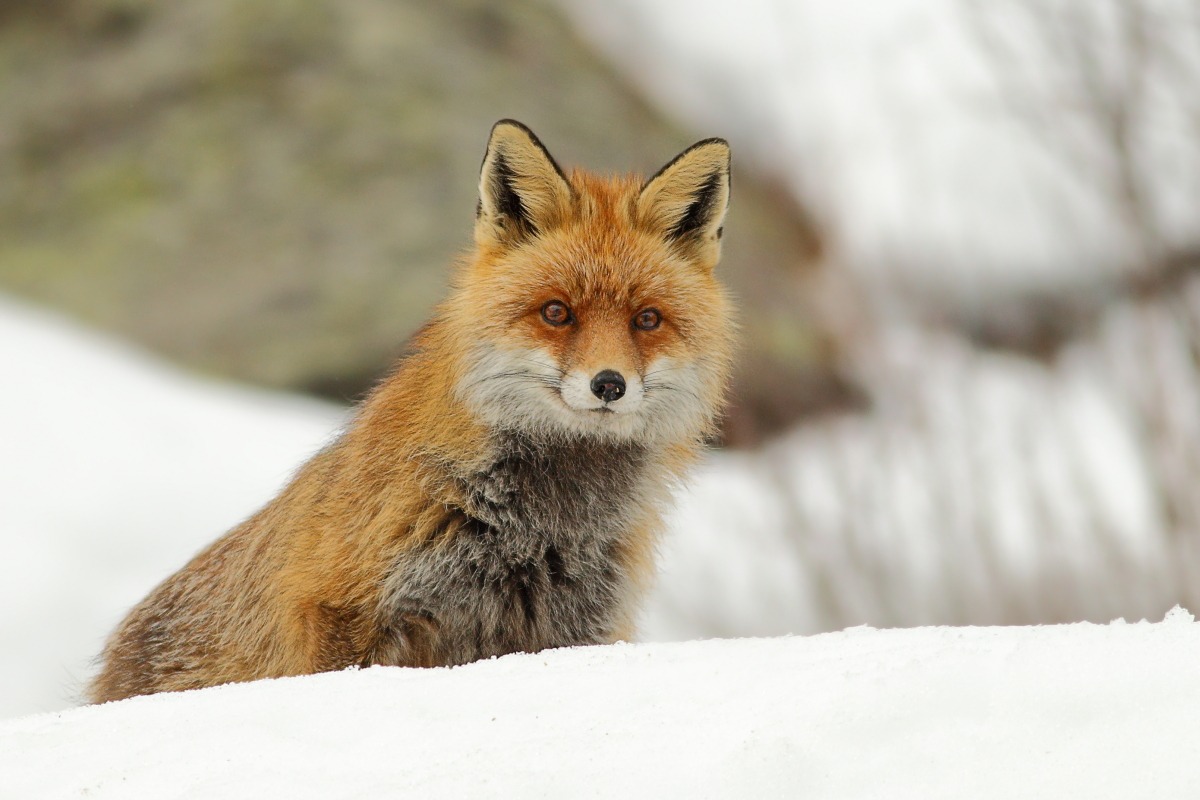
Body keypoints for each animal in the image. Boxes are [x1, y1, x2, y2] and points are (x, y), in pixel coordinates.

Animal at [89, 120, 734, 703]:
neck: (541, 526)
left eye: (646, 319)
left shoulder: (575, 629)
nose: (609, 385)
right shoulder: (342, 608)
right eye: (556, 312)